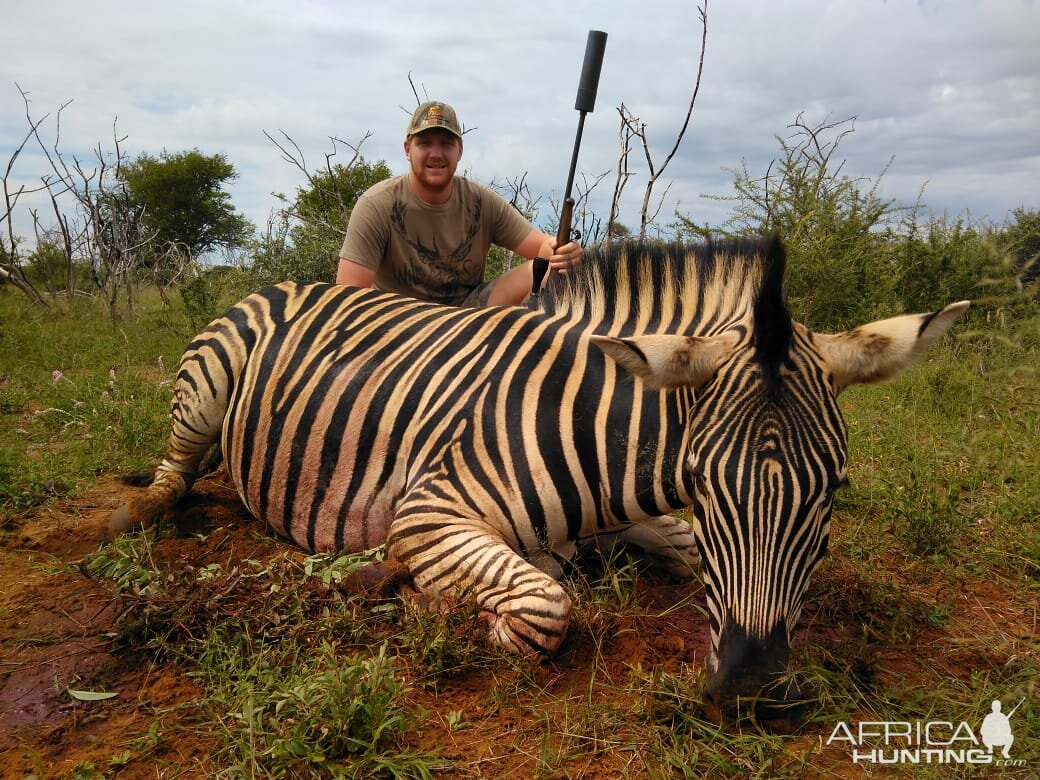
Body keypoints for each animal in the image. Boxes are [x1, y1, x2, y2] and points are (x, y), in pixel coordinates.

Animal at [107, 237, 965, 719]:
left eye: (836, 488)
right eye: (699, 476)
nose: (751, 688)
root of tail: (293, 281)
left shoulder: (637, 518)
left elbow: (684, 552)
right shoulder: (430, 508)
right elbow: (546, 604)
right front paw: (412, 594)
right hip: (206, 389)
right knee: (174, 471)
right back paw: (136, 511)